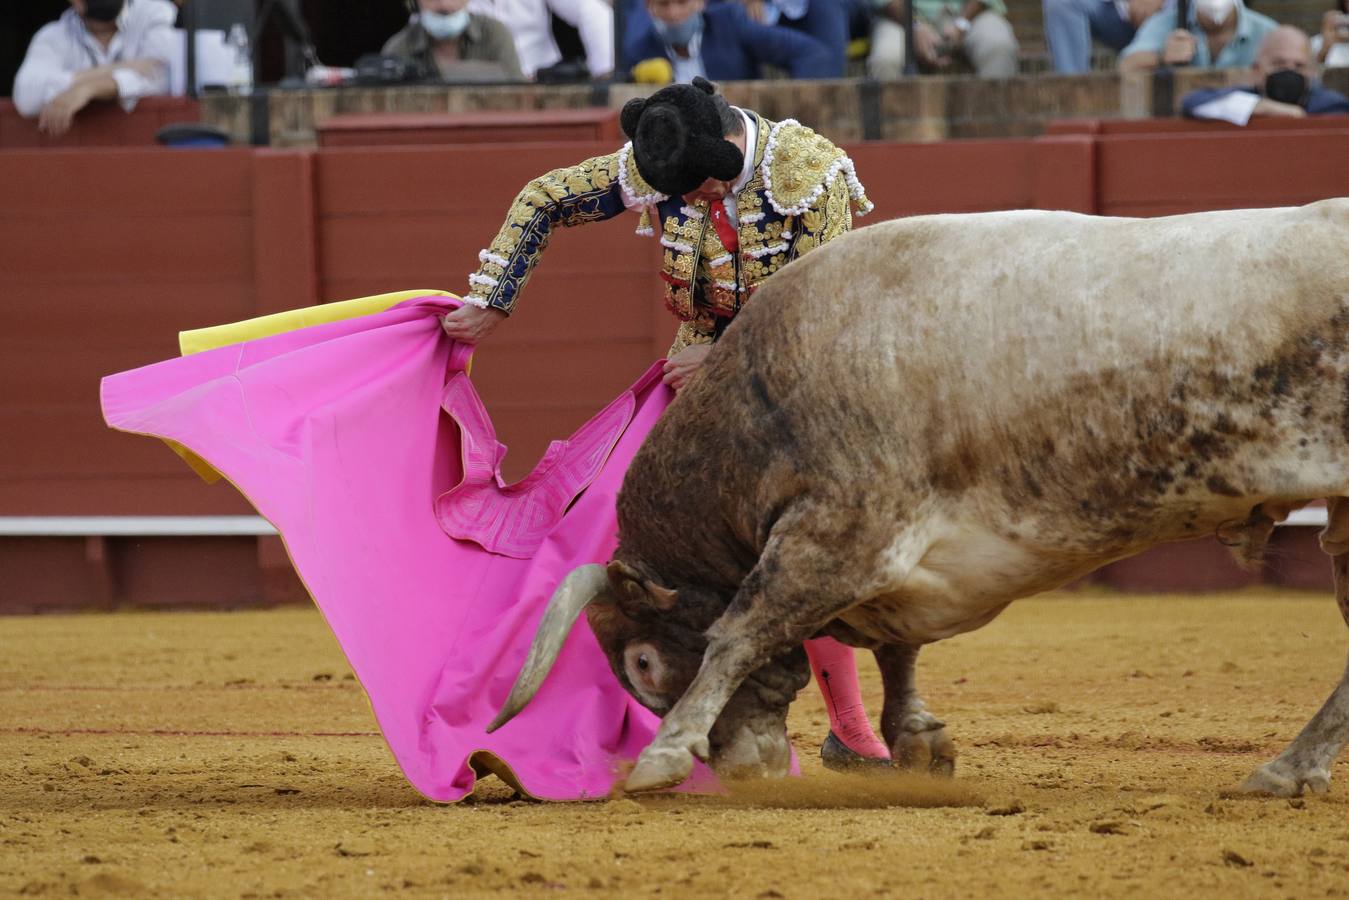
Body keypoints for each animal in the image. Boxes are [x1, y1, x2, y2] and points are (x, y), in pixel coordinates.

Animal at [491, 198, 1349, 793]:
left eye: (640, 663)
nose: (738, 767)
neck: (764, 397)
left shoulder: (837, 528)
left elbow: (740, 630)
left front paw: (662, 757)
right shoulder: (885, 559)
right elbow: (894, 648)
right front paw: (915, 739)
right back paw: (1287, 770)